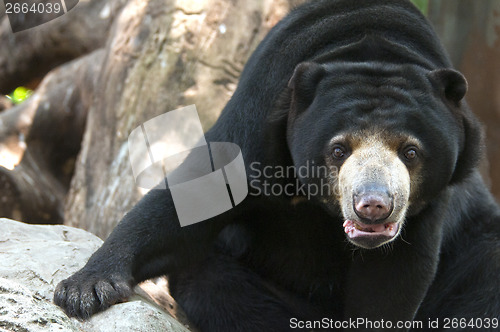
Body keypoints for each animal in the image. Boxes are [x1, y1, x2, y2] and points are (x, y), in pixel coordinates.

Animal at [54, 0, 500, 330]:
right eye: (338, 150)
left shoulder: (429, 207)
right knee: (219, 287)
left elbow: (394, 278)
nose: (373, 206)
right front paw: (84, 289)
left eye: (410, 151)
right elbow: (191, 199)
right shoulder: (259, 119)